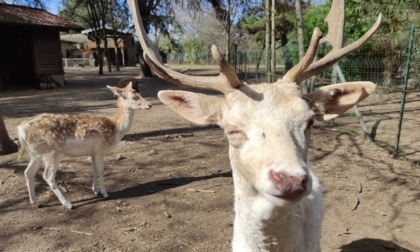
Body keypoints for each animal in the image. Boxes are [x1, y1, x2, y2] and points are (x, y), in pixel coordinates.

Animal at [18, 82, 153, 209]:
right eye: (134, 97)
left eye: (139, 92)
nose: (150, 105)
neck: (116, 128)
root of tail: (21, 129)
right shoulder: (100, 149)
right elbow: (101, 170)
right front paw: (105, 193)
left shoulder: (92, 152)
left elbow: (94, 169)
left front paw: (95, 190)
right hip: (52, 153)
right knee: (47, 176)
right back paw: (68, 204)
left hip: (36, 154)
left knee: (28, 172)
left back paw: (35, 203)